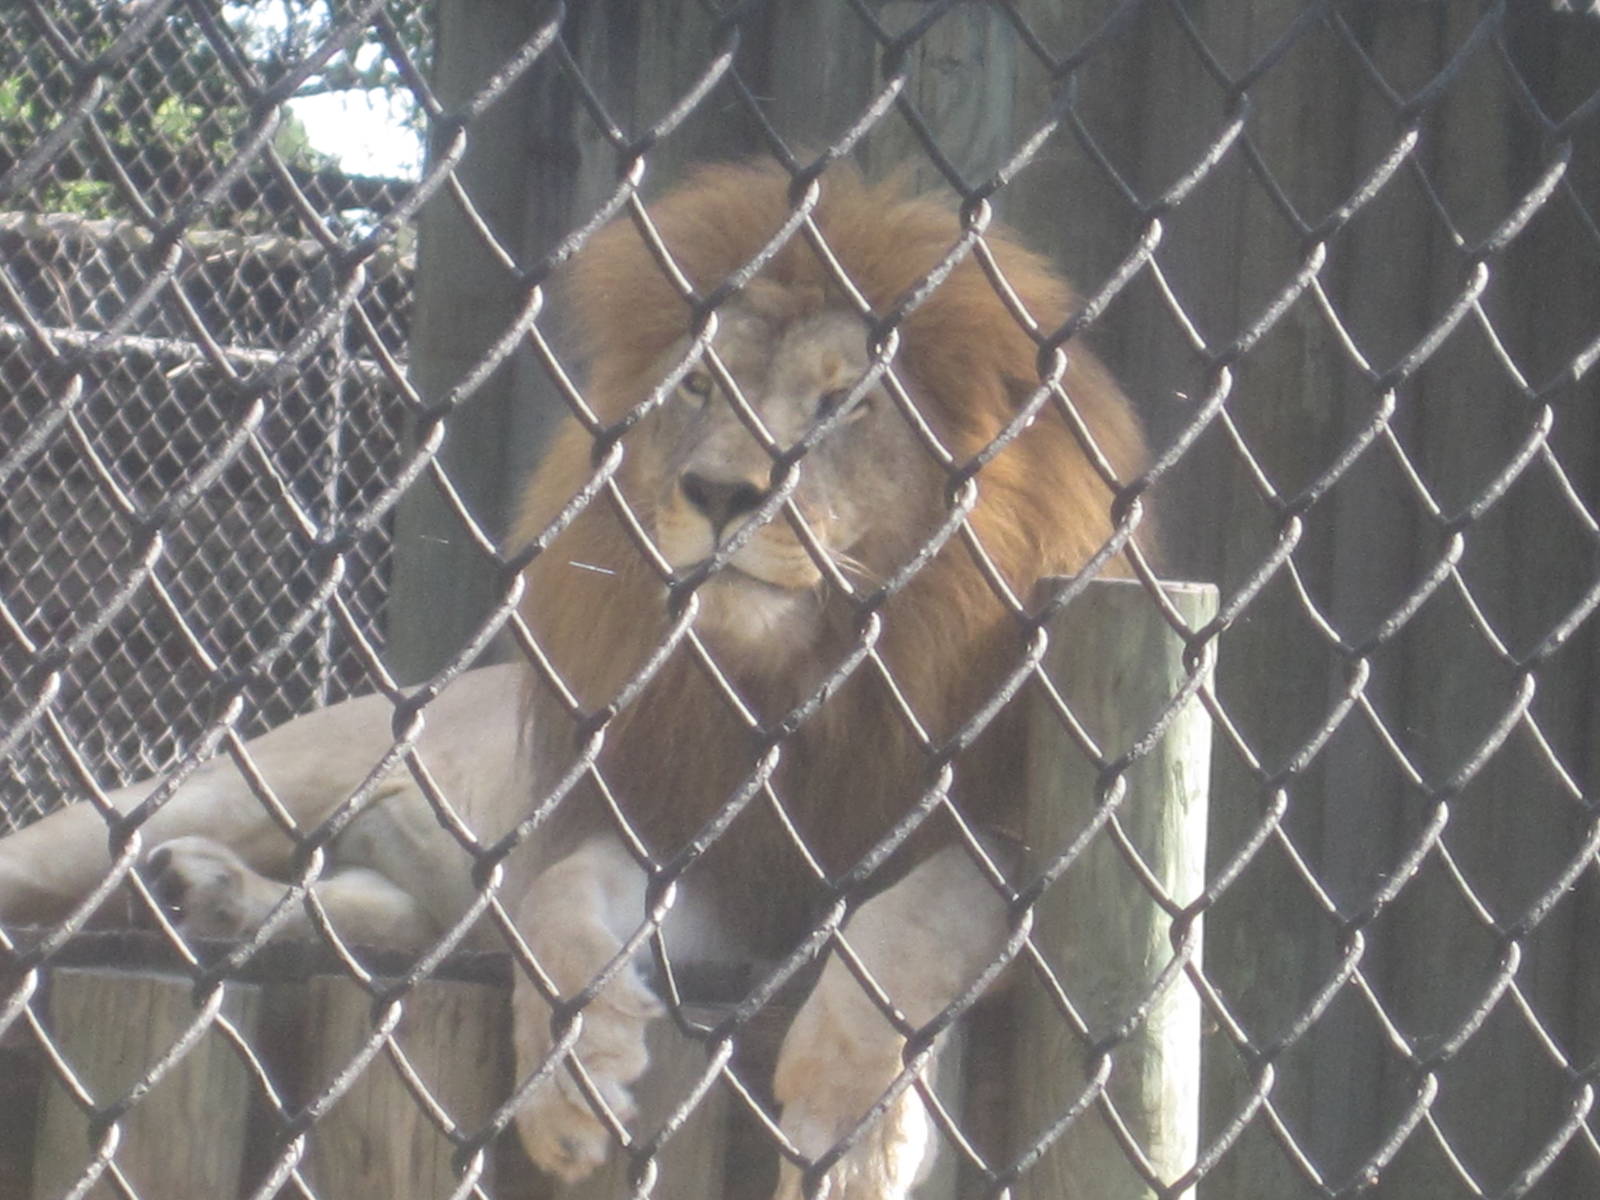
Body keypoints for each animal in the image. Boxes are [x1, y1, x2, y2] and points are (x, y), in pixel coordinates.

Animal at [0, 160, 1147, 1199]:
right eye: (698, 386)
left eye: (844, 404)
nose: (717, 492)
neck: (804, 681)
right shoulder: (678, 835)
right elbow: (559, 898)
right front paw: (570, 1079)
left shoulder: (1004, 843)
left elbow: (917, 917)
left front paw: (845, 1127)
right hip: (235, 788)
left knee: (399, 913)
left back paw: (213, 898)